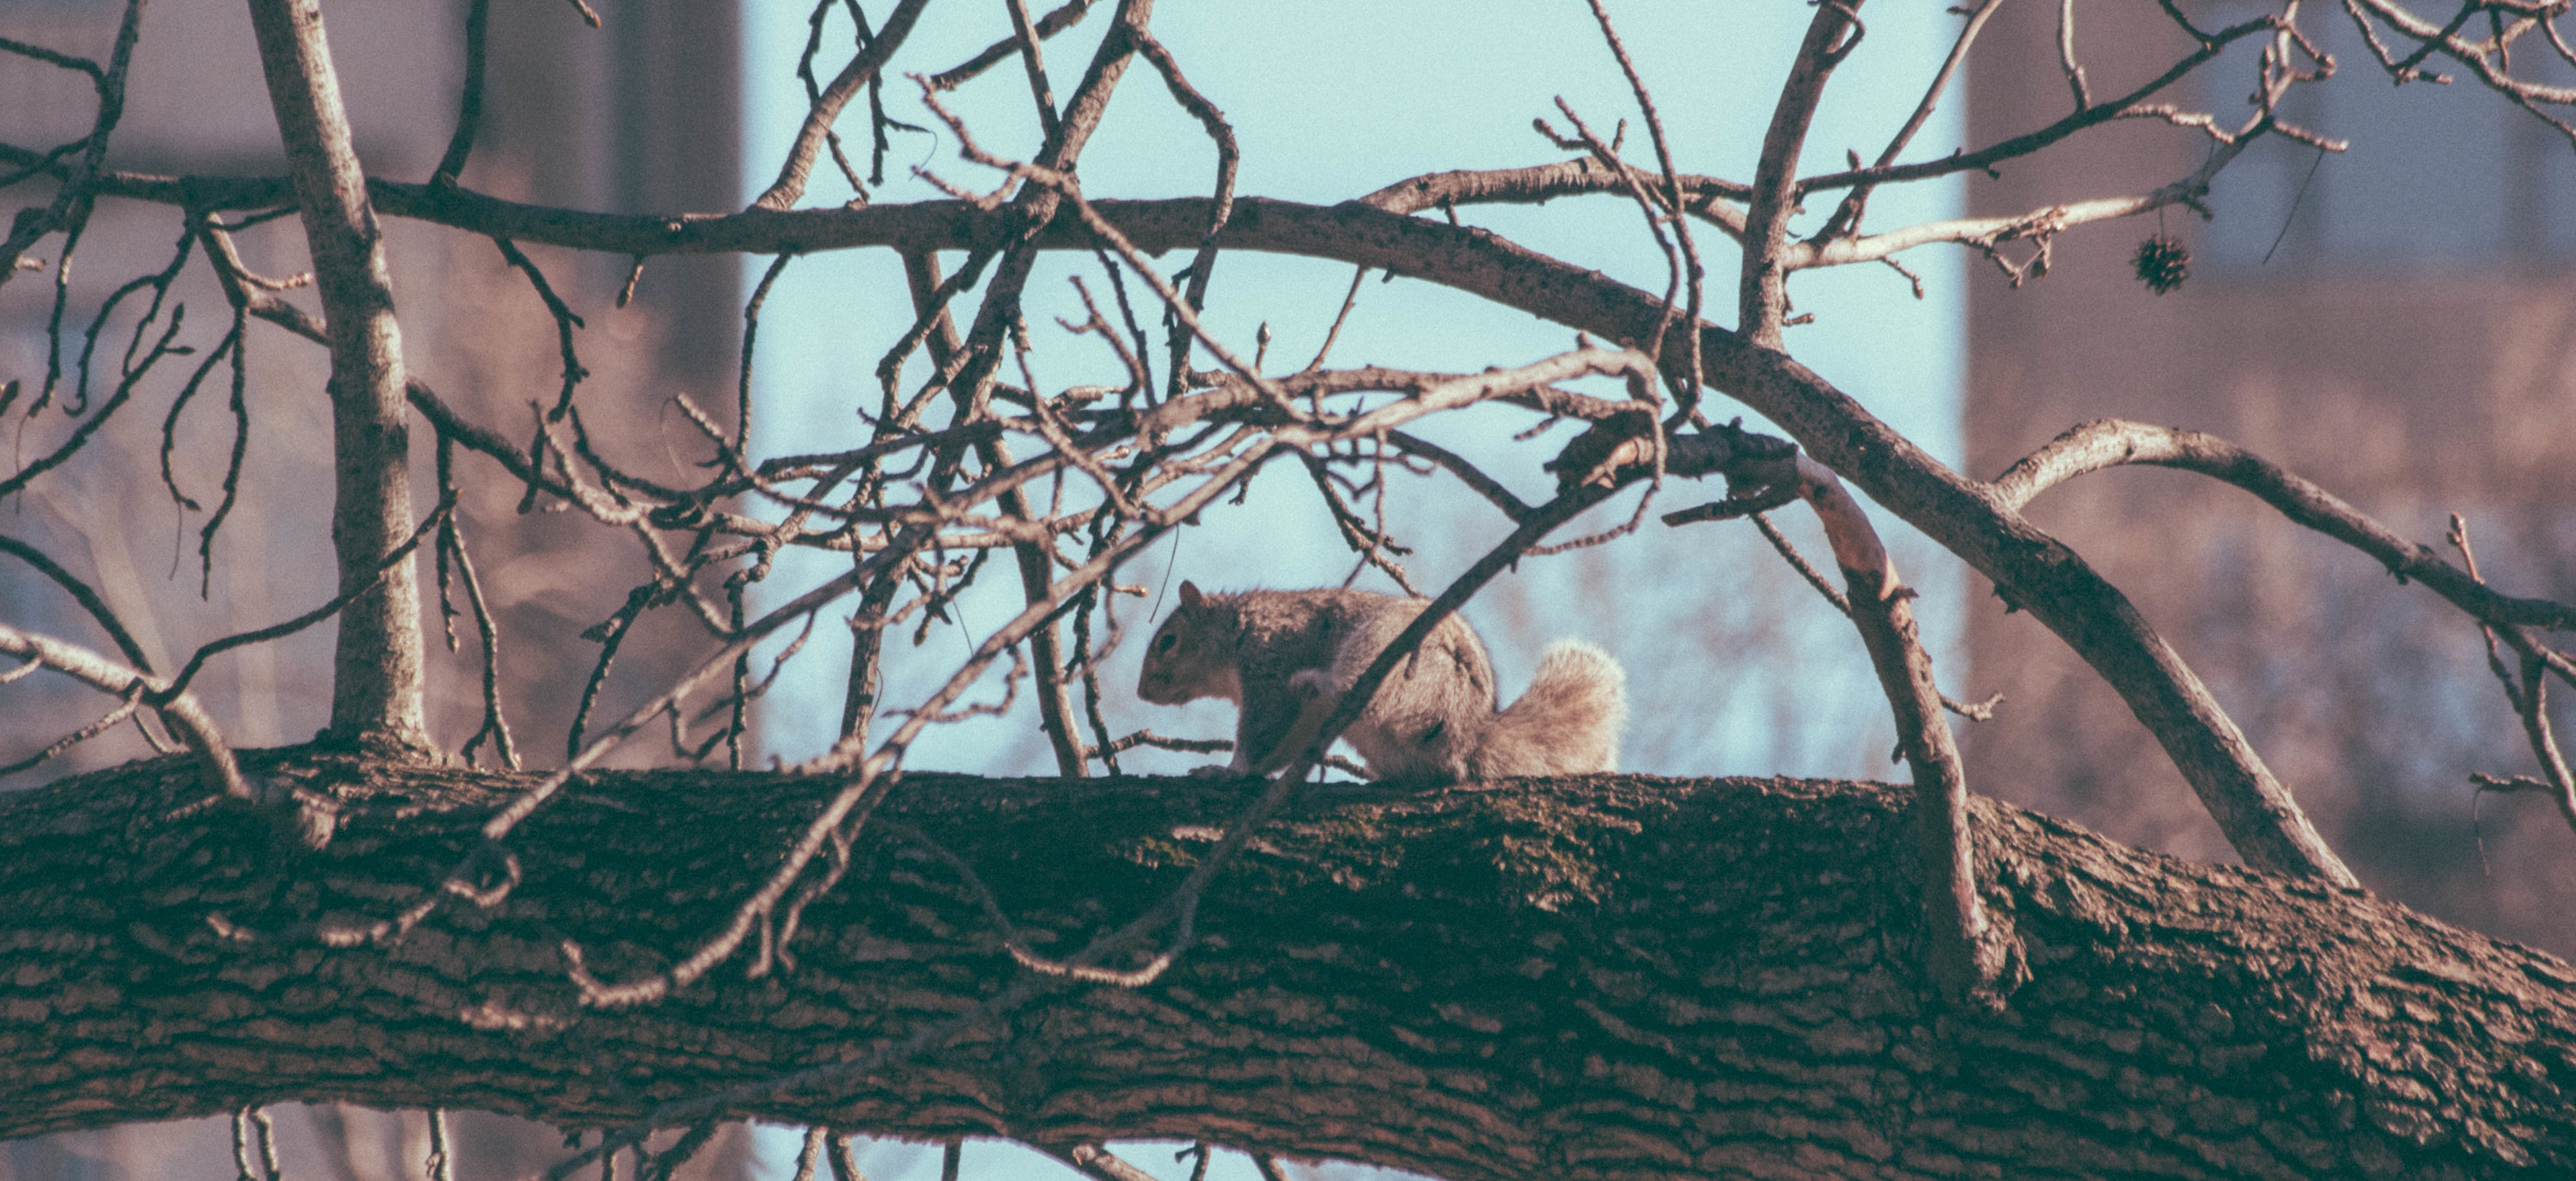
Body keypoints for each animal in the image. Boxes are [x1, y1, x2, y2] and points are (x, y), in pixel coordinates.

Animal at [1133, 580, 1617, 784]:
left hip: (1390, 650)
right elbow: (1281, 744)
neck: (1238, 629)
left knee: (1358, 694)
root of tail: (1466, 734)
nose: (1142, 692)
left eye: (1167, 642)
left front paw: (1228, 769)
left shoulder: (1269, 664)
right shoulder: (1298, 717)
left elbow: (1261, 734)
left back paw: (1321, 681)